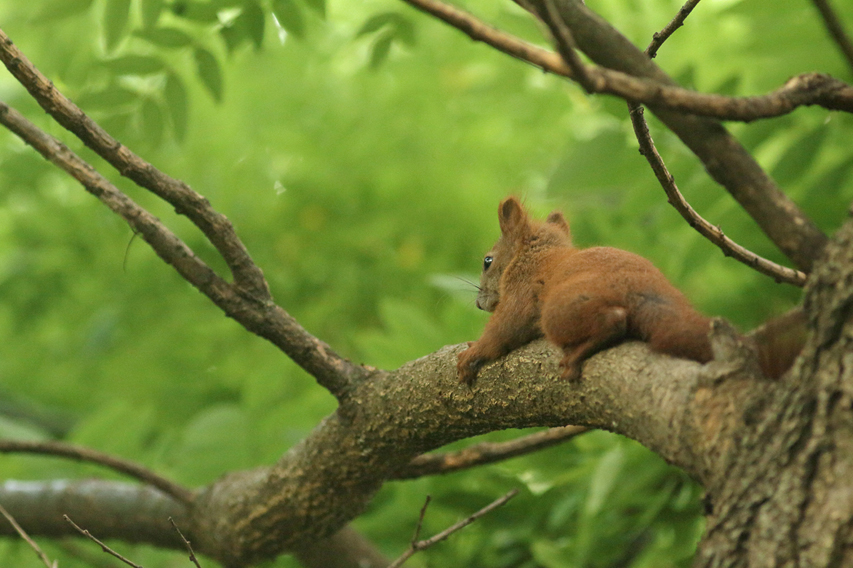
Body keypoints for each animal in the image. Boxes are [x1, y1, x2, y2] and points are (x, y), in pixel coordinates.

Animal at [456, 196, 804, 386]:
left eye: (488, 261)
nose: (479, 304)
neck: (533, 255)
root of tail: (647, 294)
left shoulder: (521, 290)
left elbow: (505, 329)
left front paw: (473, 351)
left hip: (558, 311)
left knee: (614, 321)